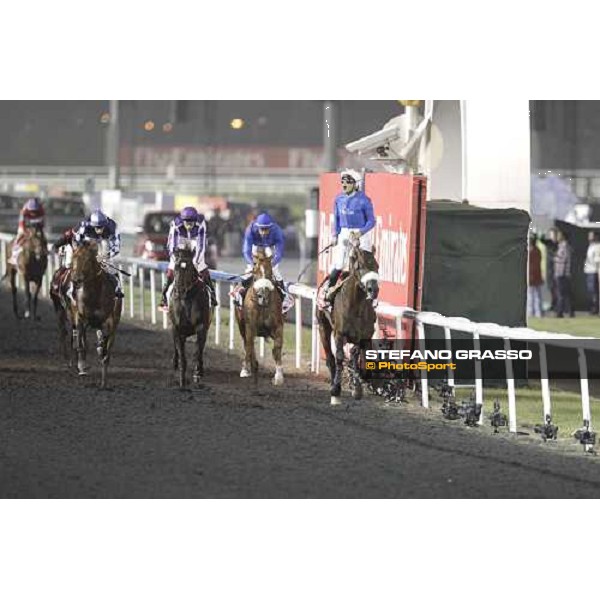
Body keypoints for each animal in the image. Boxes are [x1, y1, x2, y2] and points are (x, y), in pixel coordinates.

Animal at [52, 243, 123, 390]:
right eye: (74, 258)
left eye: (88, 260)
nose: (76, 279)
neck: (95, 294)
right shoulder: (80, 318)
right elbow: (80, 344)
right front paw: (82, 367)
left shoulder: (110, 323)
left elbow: (106, 351)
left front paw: (104, 382)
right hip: (60, 310)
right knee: (65, 333)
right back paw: (70, 362)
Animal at [169, 247, 213, 390]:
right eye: (176, 267)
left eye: (188, 267)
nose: (179, 291)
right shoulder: (177, 328)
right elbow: (182, 355)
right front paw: (182, 380)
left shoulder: (201, 327)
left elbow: (197, 352)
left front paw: (197, 374)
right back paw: (175, 363)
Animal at [236, 247, 284, 384]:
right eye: (255, 271)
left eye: (270, 272)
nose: (263, 295)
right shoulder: (250, 326)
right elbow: (248, 346)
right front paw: (245, 370)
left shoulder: (278, 326)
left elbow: (276, 349)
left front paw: (278, 376)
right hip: (241, 326)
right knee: (247, 344)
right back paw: (251, 367)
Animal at [316, 232, 378, 406]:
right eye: (360, 266)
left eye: (377, 266)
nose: (373, 289)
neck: (356, 307)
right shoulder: (339, 333)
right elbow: (339, 358)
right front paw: (336, 390)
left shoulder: (365, 337)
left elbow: (357, 358)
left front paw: (356, 387)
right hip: (323, 327)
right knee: (330, 358)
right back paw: (333, 386)